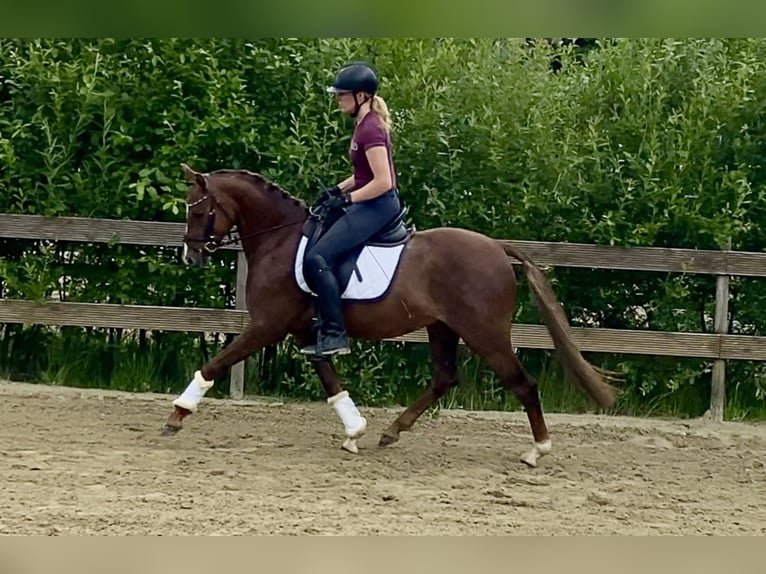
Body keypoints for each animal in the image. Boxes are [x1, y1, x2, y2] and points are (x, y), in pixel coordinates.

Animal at [164, 165, 624, 468]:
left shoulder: (267, 325)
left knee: (522, 383)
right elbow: (329, 378)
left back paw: (537, 450)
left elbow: (217, 363)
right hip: (443, 328)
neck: (280, 239)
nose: (189, 255)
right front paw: (355, 431)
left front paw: (177, 415)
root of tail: (496, 247)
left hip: (485, 333)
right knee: (444, 378)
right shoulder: (304, 330)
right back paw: (392, 431)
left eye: (197, 211)